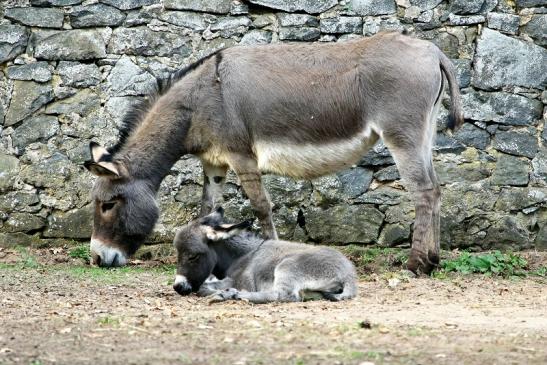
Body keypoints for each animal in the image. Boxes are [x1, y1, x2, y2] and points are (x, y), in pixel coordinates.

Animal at [173, 206, 358, 302]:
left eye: (193, 256)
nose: (177, 287)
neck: (241, 256)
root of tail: (349, 274)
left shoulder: (241, 280)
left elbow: (203, 287)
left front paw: (223, 291)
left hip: (287, 266)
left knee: (283, 295)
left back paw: (231, 295)